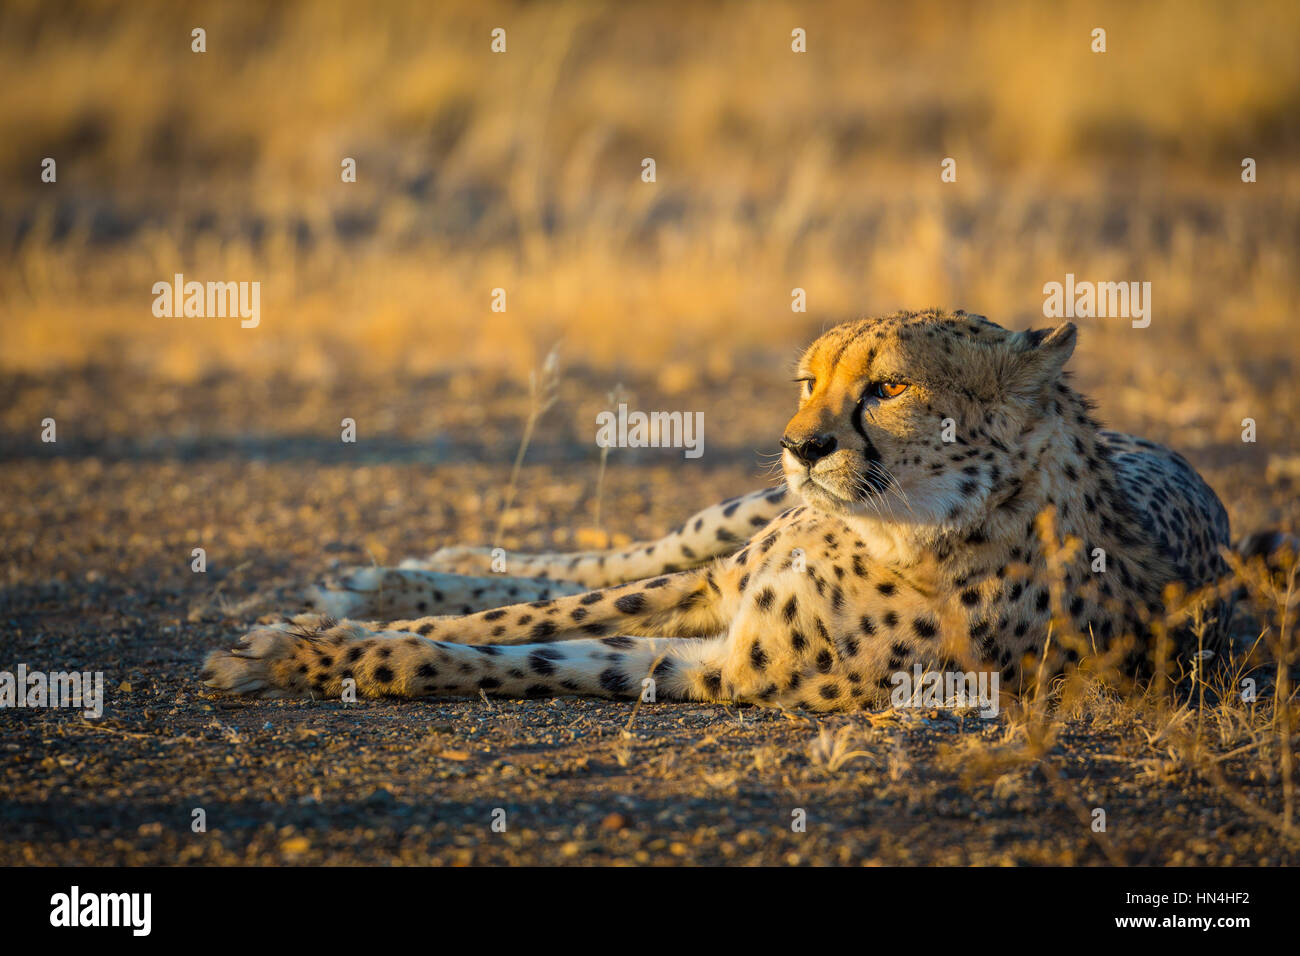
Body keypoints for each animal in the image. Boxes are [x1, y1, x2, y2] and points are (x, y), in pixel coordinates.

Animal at [200, 306, 1237, 712]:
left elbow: (510, 656)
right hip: (732, 526)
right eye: (811, 381)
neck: (905, 532)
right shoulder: (713, 589)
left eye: (890, 388)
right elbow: (524, 618)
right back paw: (401, 575)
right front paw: (311, 632)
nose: (800, 444)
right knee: (624, 556)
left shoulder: (717, 667)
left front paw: (308, 653)